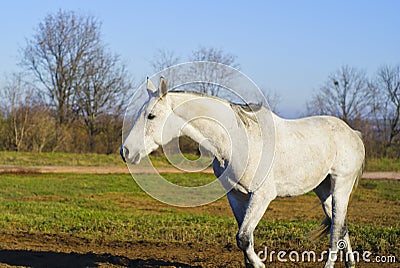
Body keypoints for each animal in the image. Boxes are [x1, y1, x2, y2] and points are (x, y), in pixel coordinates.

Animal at [121, 77, 366, 268]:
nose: (126, 151)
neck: (237, 141)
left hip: (340, 186)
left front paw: (260, 264)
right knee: (341, 227)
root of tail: (353, 133)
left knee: (336, 230)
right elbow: (245, 239)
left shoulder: (261, 196)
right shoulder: (236, 196)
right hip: (323, 190)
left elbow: (244, 238)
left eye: (151, 116)